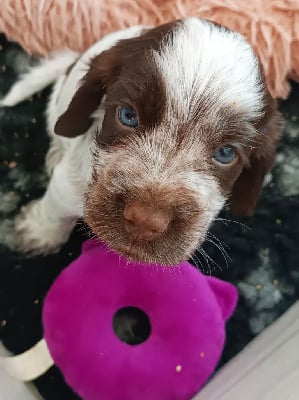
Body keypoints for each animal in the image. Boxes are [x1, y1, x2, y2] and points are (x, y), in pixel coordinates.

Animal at [0, 18, 282, 266]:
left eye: (225, 153)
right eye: (127, 115)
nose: (145, 223)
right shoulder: (69, 184)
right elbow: (56, 209)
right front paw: (38, 232)